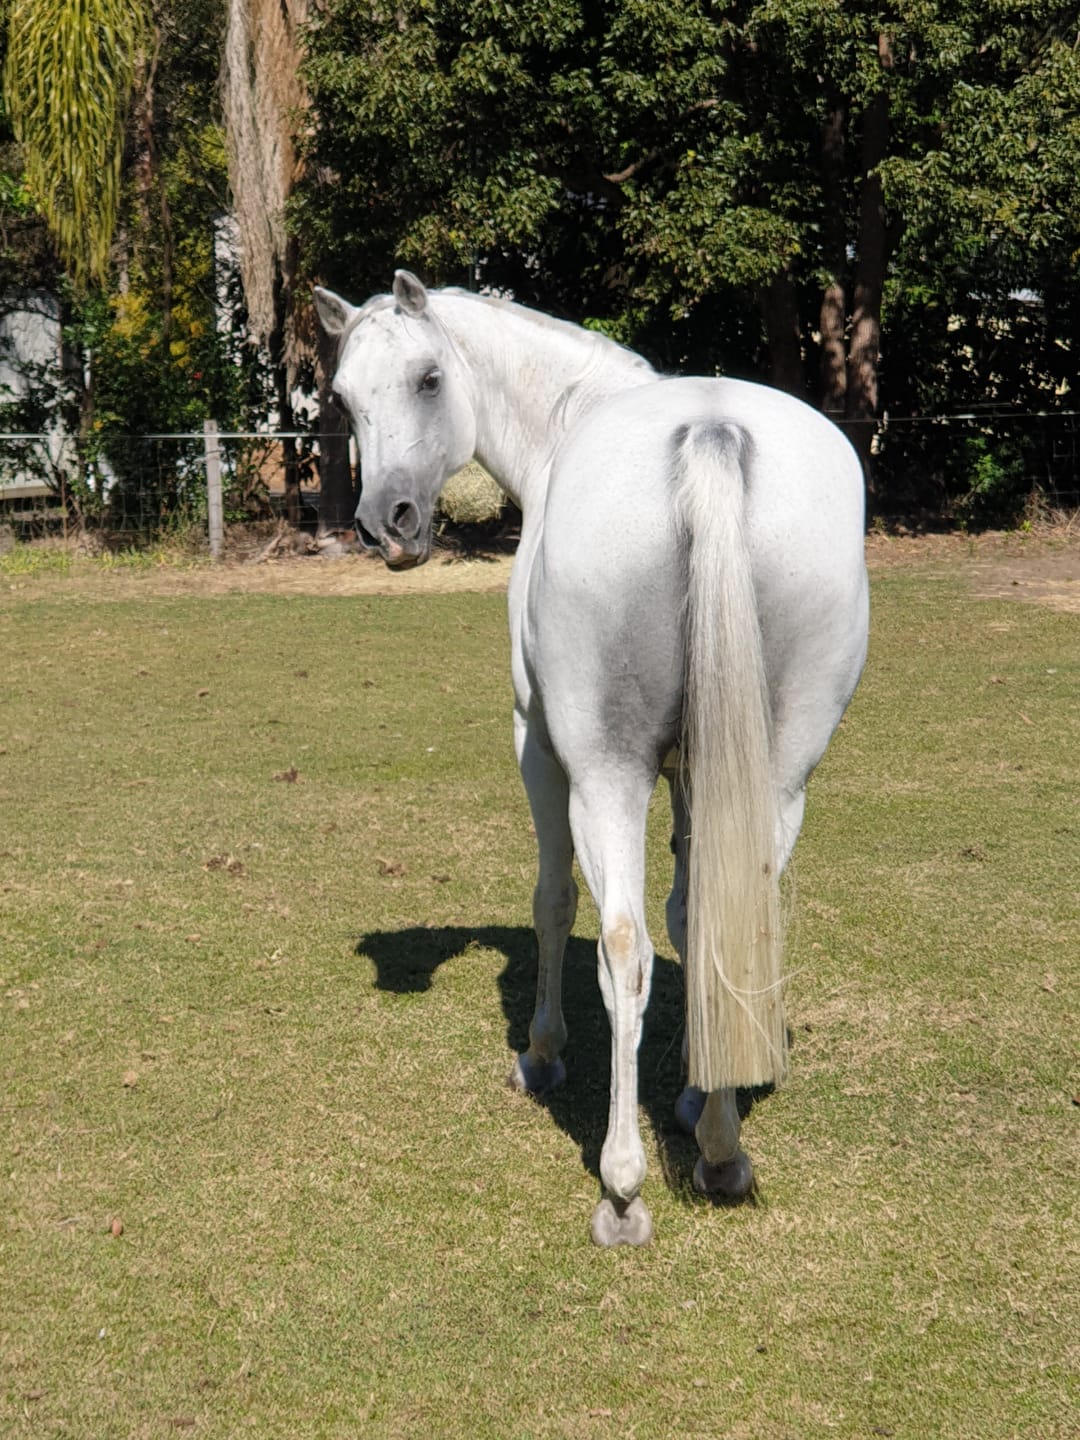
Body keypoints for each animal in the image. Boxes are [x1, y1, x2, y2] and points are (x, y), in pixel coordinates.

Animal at [314, 271, 869, 1246]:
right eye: (344, 398)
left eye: (428, 379)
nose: (390, 525)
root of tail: (711, 435)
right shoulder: (697, 774)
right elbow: (694, 916)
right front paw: (694, 1093)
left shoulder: (537, 745)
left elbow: (556, 901)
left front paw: (542, 1053)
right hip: (778, 781)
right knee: (730, 921)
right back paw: (721, 1151)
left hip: (604, 777)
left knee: (622, 945)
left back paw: (623, 1188)